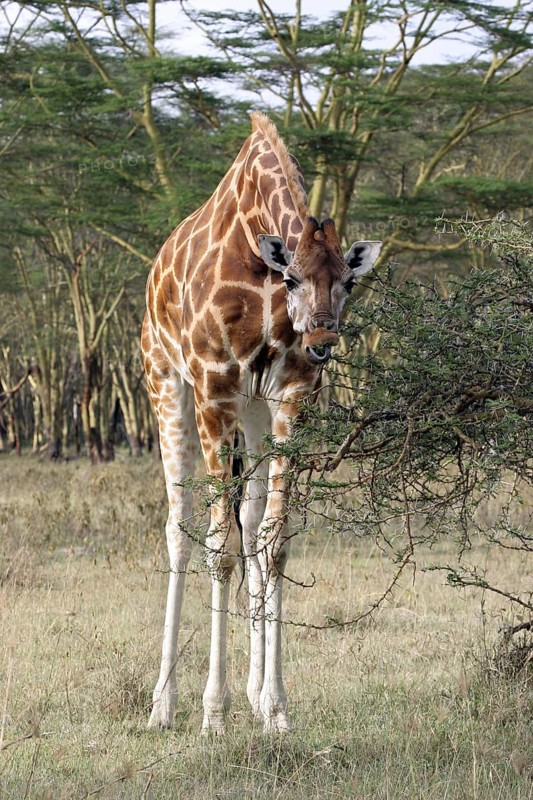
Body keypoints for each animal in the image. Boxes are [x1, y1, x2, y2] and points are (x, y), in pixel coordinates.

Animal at [141, 112, 382, 735]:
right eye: (291, 278)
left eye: (348, 282)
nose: (322, 340)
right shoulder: (214, 388)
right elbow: (217, 547)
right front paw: (213, 713)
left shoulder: (290, 396)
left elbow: (272, 542)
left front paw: (274, 708)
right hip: (165, 383)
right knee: (179, 525)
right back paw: (162, 704)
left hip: (250, 412)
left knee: (248, 522)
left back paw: (250, 694)